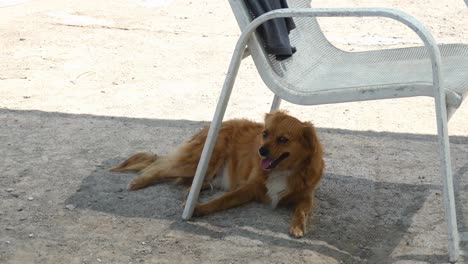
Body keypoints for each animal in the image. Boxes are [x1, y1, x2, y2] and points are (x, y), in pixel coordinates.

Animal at [111, 110, 324, 237]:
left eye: (283, 139)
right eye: (265, 134)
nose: (261, 151)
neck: (284, 170)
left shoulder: (306, 197)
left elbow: (301, 211)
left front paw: (298, 226)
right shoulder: (248, 188)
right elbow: (221, 201)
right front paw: (199, 209)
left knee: (190, 182)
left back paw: (189, 196)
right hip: (199, 162)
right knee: (160, 166)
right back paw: (139, 182)